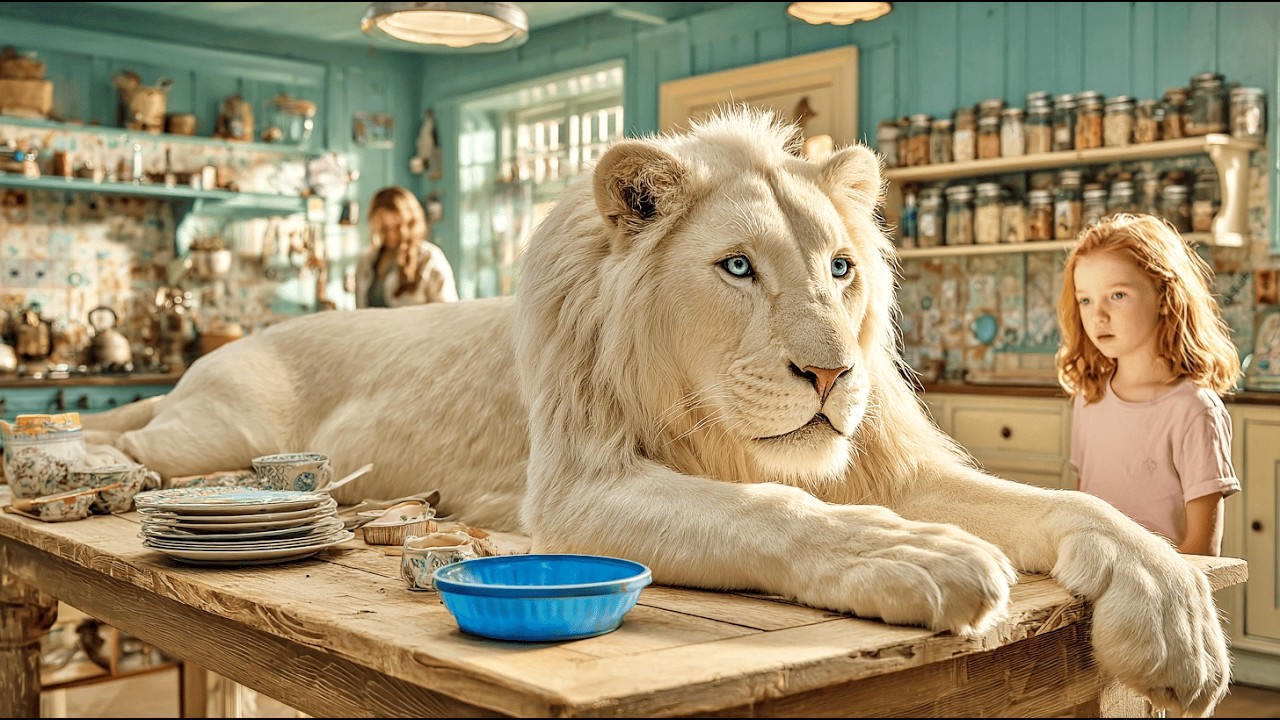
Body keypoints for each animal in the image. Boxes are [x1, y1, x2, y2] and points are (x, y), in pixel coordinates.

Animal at [85, 107, 1228, 717]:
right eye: (737, 268)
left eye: (840, 268)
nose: (830, 377)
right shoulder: (580, 490)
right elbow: (779, 512)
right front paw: (915, 556)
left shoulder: (898, 468)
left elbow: (1081, 511)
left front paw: (1175, 619)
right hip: (220, 430)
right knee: (132, 434)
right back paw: (86, 458)